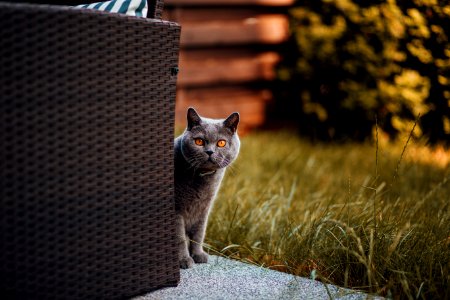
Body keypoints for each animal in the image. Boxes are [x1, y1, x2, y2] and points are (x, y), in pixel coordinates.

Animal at [174, 108, 241, 270]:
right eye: (199, 141)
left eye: (221, 143)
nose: (210, 151)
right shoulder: (176, 209)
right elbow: (180, 237)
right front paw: (184, 260)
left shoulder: (204, 209)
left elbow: (199, 233)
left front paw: (198, 254)